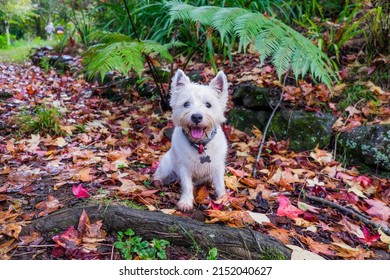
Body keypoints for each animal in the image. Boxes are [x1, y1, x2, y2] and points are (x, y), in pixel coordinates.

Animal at [154, 69, 229, 210]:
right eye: (186, 104)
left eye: (208, 105)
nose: (196, 117)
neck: (200, 145)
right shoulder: (184, 167)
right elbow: (187, 185)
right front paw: (186, 202)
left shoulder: (217, 166)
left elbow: (220, 184)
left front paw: (223, 199)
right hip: (167, 165)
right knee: (159, 174)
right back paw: (157, 181)